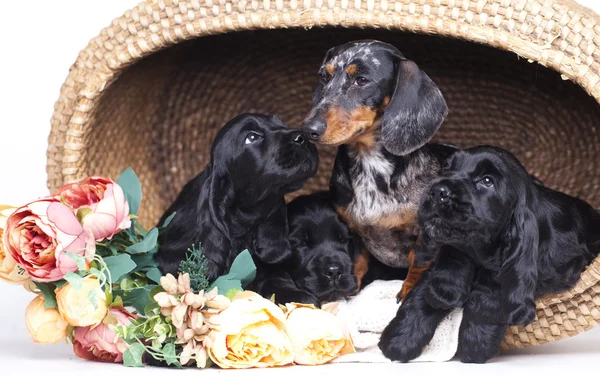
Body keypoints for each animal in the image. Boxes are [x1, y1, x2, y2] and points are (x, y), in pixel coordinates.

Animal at [302, 40, 452, 300]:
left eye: (361, 80)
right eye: (324, 76)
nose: (309, 128)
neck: (370, 166)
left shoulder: (427, 235)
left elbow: (419, 263)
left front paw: (408, 292)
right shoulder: (353, 232)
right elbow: (359, 260)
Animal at [380, 144, 600, 362]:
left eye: (487, 181)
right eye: (447, 169)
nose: (436, 191)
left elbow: (492, 285)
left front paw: (475, 342)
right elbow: (425, 289)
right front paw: (400, 338)